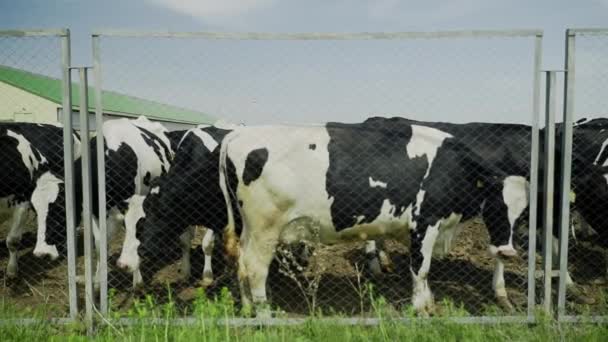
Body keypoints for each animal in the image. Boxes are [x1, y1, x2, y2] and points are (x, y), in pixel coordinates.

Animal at [31, 116, 183, 288]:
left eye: (59, 208)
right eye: (34, 209)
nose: (41, 253)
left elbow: (134, 236)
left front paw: (137, 280)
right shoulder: (96, 211)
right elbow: (100, 246)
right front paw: (98, 281)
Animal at [211, 119, 528, 316]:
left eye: (522, 214)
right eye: (496, 206)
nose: (508, 252)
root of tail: (238, 134)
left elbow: (422, 270)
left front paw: (428, 302)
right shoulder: (424, 222)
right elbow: (421, 269)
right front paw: (420, 309)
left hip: (249, 229)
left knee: (241, 265)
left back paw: (248, 309)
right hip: (265, 229)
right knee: (255, 269)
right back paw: (265, 315)